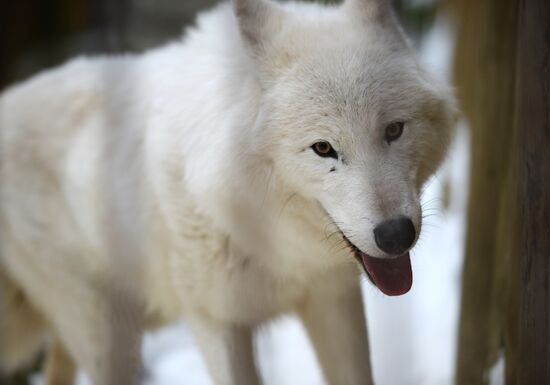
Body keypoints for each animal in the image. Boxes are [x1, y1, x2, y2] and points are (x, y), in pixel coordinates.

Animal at [0, 0, 458, 382]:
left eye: (394, 130)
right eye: (324, 148)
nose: (396, 235)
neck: (276, 242)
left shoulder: (333, 299)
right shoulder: (215, 321)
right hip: (109, 338)